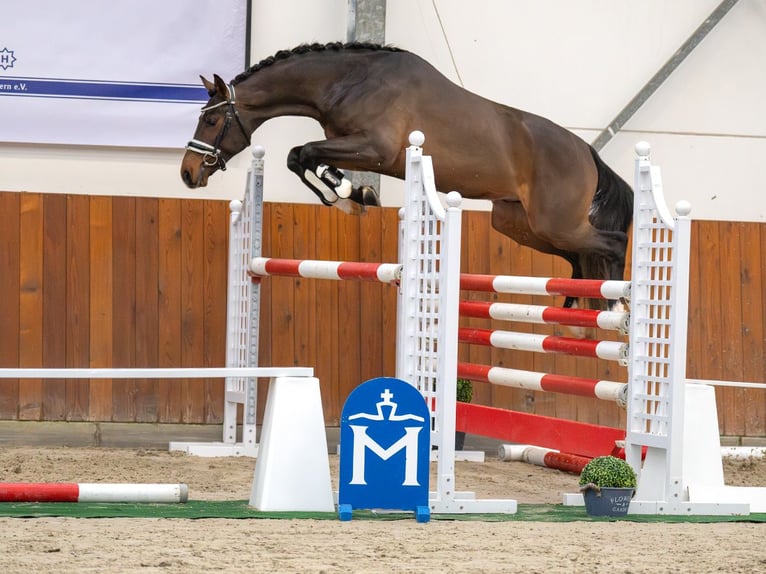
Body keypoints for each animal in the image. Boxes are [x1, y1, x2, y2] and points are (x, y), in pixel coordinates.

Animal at [183, 40, 632, 310]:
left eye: (212, 121)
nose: (188, 173)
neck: (348, 81)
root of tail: (586, 151)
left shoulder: (376, 150)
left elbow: (303, 153)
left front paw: (350, 194)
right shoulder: (353, 145)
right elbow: (301, 157)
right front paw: (350, 196)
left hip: (554, 222)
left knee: (613, 242)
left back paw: (616, 303)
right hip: (519, 224)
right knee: (579, 256)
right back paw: (577, 310)